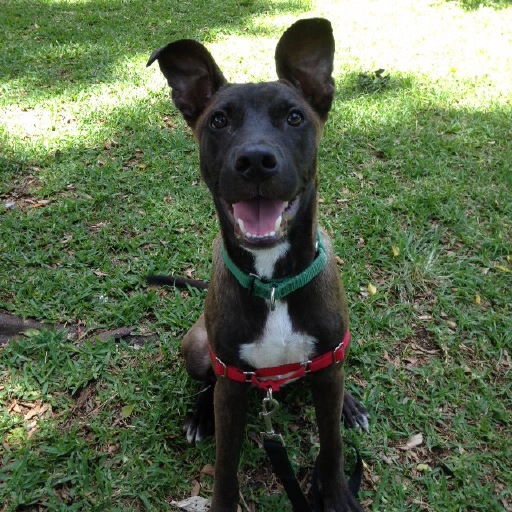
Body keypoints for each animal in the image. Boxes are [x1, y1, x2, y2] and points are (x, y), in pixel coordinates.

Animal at [148, 17, 368, 512]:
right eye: (218, 120)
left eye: (295, 117)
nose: (254, 161)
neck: (272, 285)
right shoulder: (232, 386)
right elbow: (225, 467)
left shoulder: (328, 365)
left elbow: (331, 444)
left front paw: (337, 492)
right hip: (197, 348)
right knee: (206, 382)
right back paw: (198, 416)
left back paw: (350, 406)